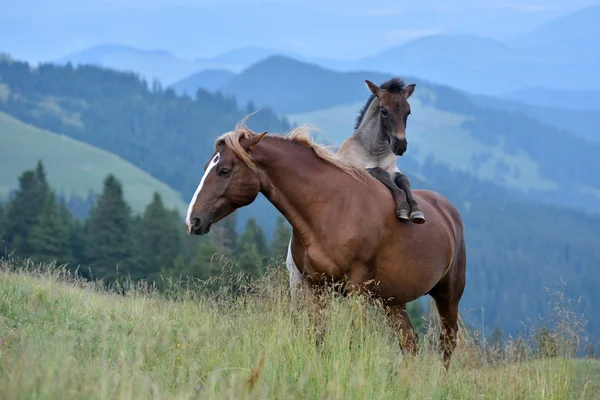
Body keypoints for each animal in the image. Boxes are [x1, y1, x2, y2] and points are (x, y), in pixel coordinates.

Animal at [185, 123, 466, 370]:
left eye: (224, 170)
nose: (192, 220)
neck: (331, 207)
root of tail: (448, 212)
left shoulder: (356, 289)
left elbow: (354, 340)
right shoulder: (314, 287)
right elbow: (318, 337)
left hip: (448, 295)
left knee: (447, 343)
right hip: (393, 301)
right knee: (409, 343)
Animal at [338, 76, 426, 223]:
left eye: (408, 112)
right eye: (384, 111)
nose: (400, 145)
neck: (375, 152)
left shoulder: (393, 169)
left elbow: (403, 179)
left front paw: (416, 211)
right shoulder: (356, 167)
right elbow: (380, 171)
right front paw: (403, 208)